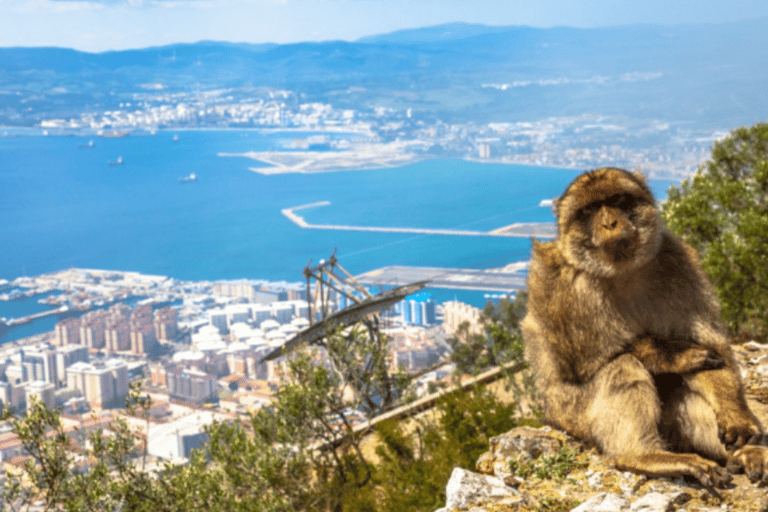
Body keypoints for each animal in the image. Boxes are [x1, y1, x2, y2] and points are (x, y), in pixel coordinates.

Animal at [520, 167, 768, 492]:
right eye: (589, 210)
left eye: (617, 200)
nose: (609, 222)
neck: (621, 271)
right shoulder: (562, 284)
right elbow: (579, 362)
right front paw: (672, 354)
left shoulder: (677, 260)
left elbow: (714, 348)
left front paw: (736, 415)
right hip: (572, 416)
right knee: (621, 366)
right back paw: (643, 455)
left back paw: (744, 453)